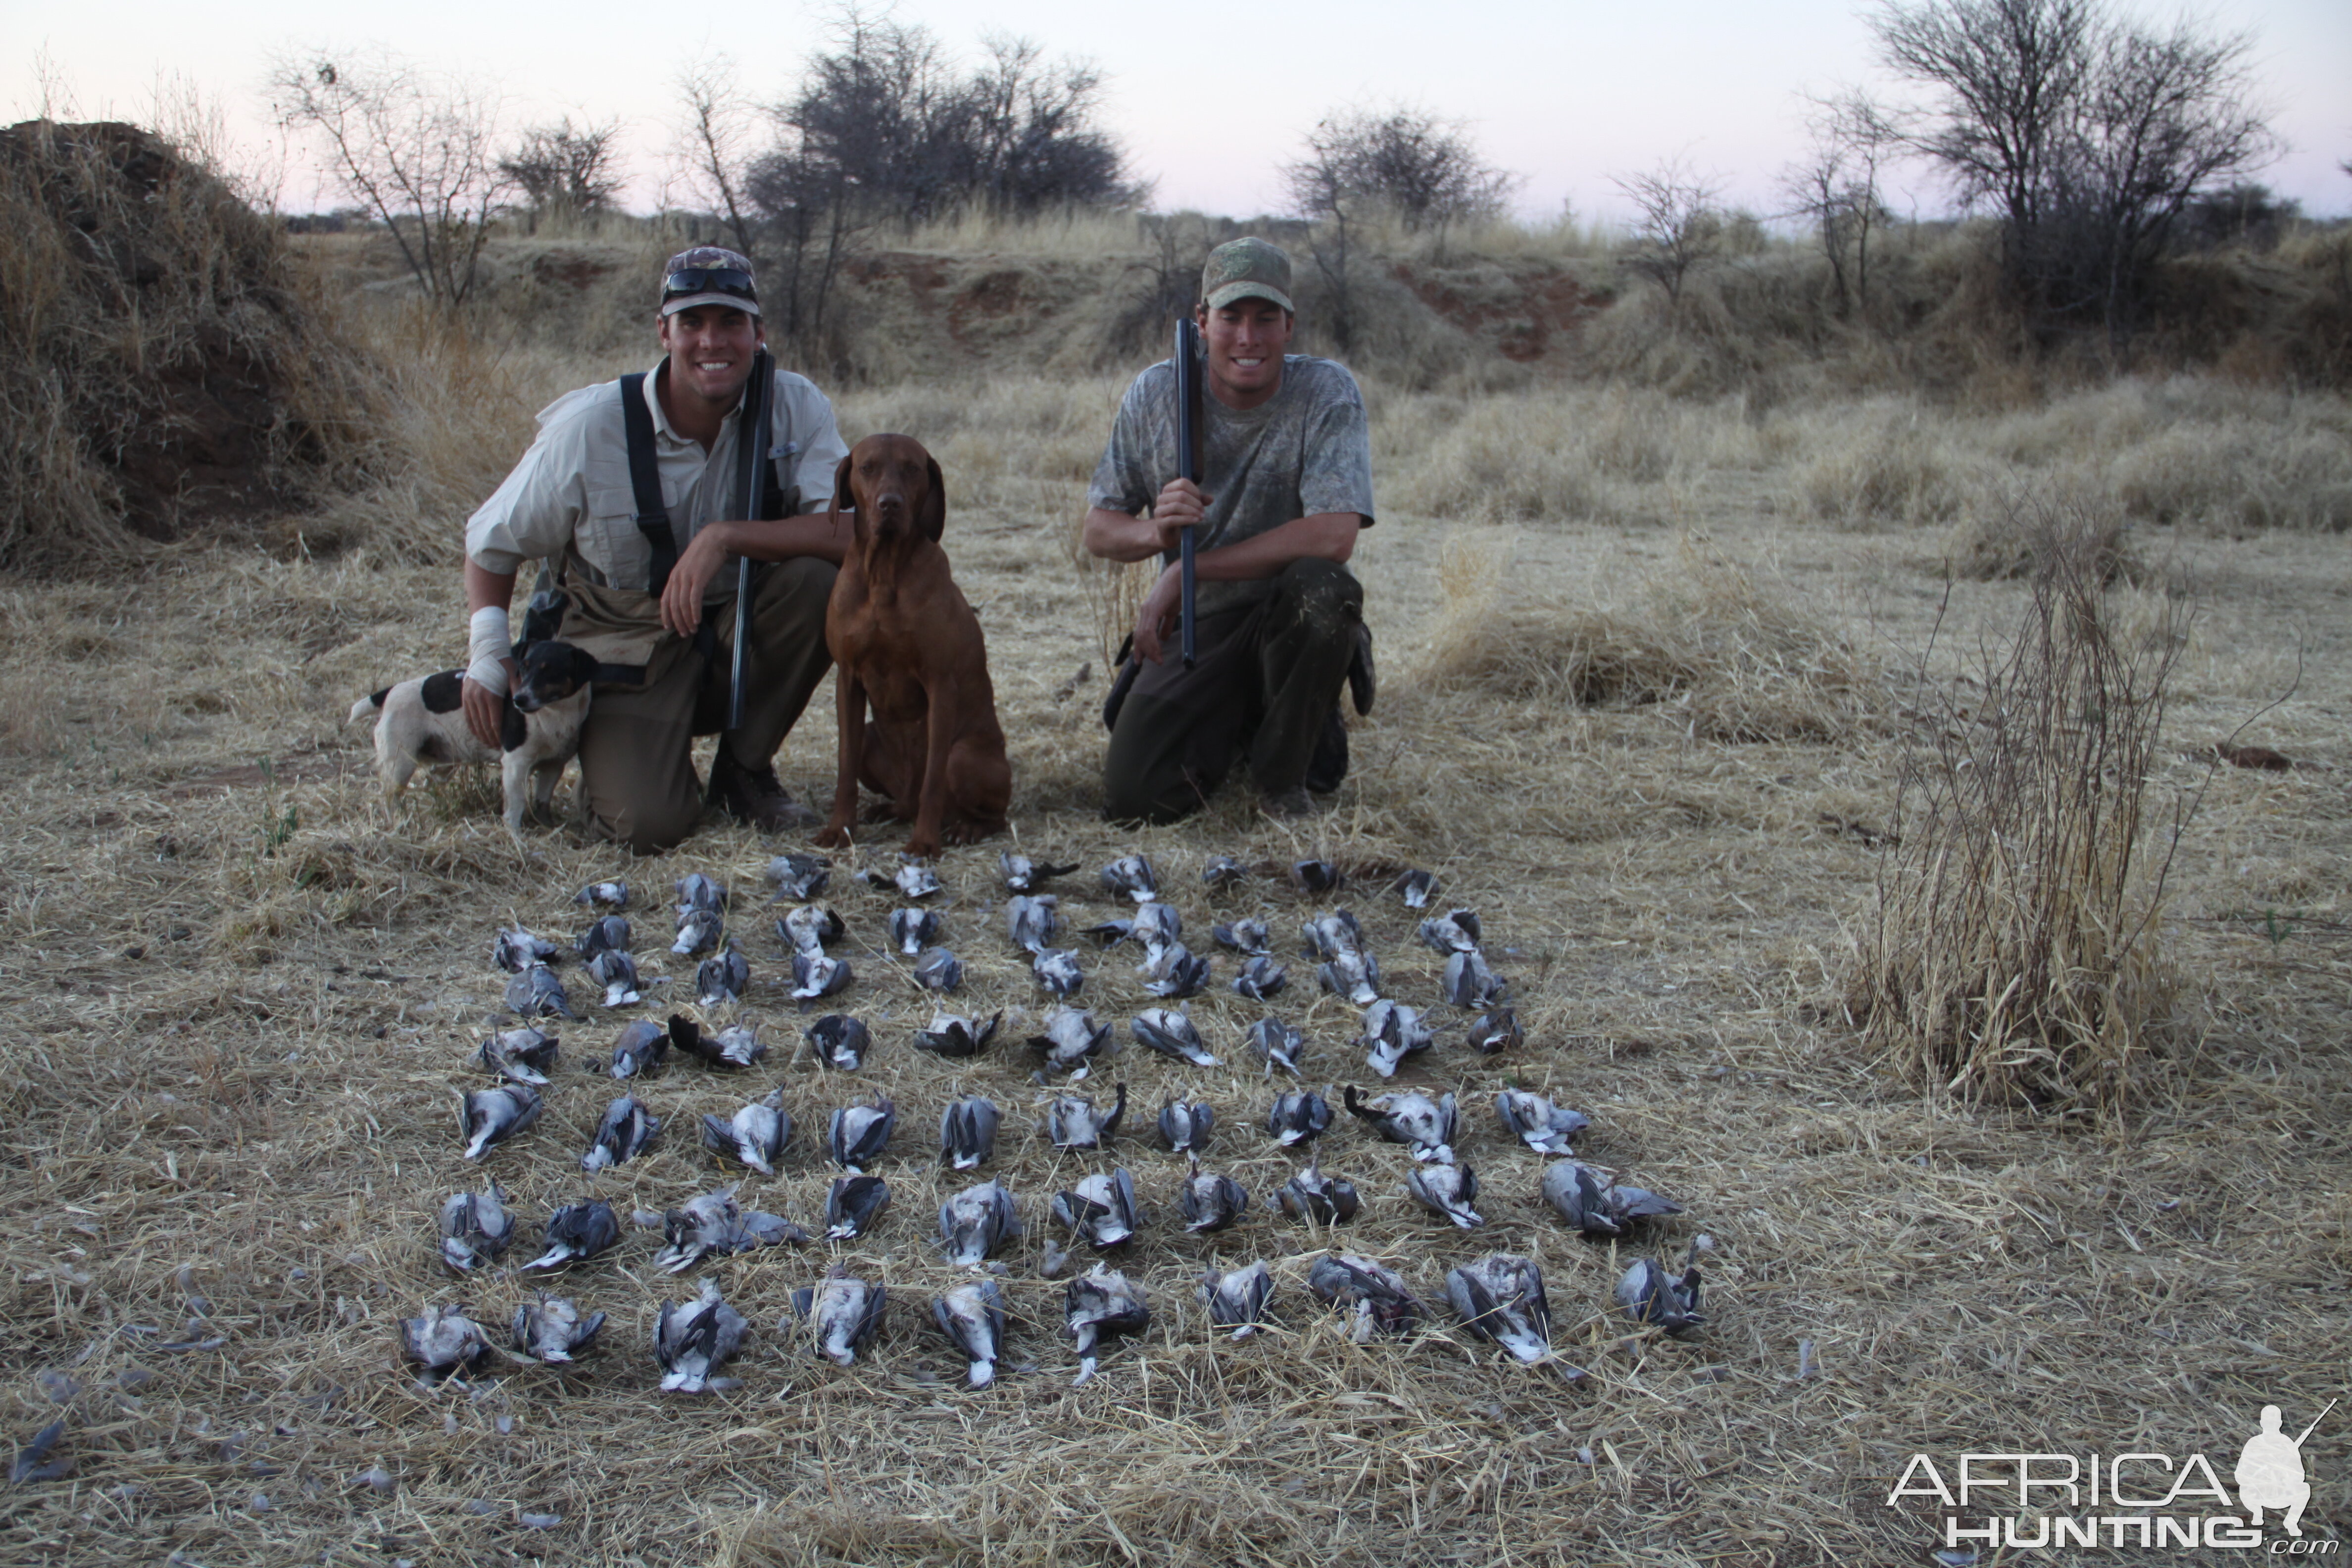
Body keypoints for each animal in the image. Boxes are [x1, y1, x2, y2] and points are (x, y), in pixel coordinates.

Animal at [352, 639, 607, 841]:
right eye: (523, 668)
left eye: (551, 671)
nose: (519, 700)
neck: (554, 715)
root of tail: (390, 692)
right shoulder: (516, 765)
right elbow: (515, 805)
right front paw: (516, 838)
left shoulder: (553, 767)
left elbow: (542, 802)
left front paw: (547, 828)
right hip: (400, 764)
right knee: (390, 799)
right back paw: (397, 824)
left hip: (441, 765)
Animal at [814, 432, 1006, 860]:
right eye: (867, 467)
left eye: (913, 469)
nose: (890, 505)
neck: (884, 572)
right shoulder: (848, 678)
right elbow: (844, 765)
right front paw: (839, 829)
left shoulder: (940, 683)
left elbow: (933, 778)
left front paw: (925, 842)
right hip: (873, 741)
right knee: (904, 798)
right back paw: (890, 809)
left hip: (964, 757)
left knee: (988, 813)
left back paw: (967, 827)